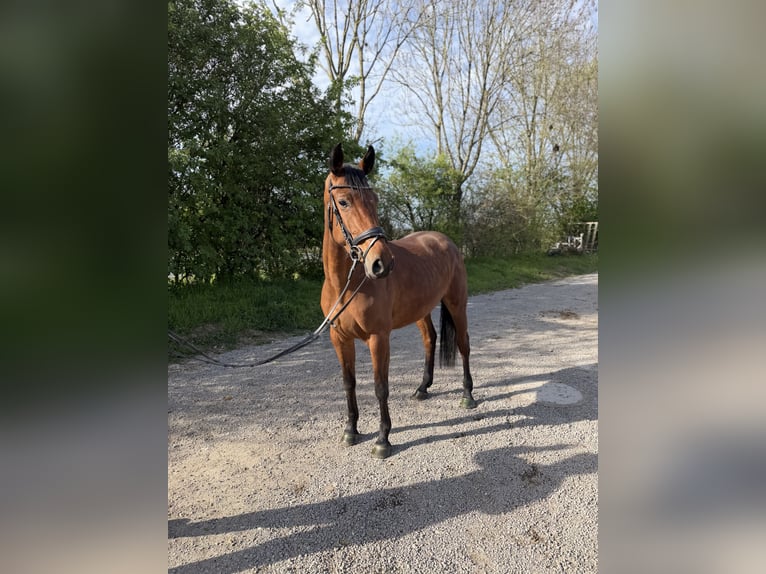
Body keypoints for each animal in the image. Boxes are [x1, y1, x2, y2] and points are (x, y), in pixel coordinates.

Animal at [321, 143, 477, 459]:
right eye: (343, 202)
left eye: (374, 199)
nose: (382, 263)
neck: (346, 285)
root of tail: (445, 241)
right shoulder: (339, 337)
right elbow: (348, 382)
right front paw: (351, 430)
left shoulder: (378, 338)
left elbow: (381, 386)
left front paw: (383, 439)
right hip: (421, 311)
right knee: (430, 338)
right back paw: (423, 388)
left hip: (457, 304)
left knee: (463, 344)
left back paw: (468, 395)